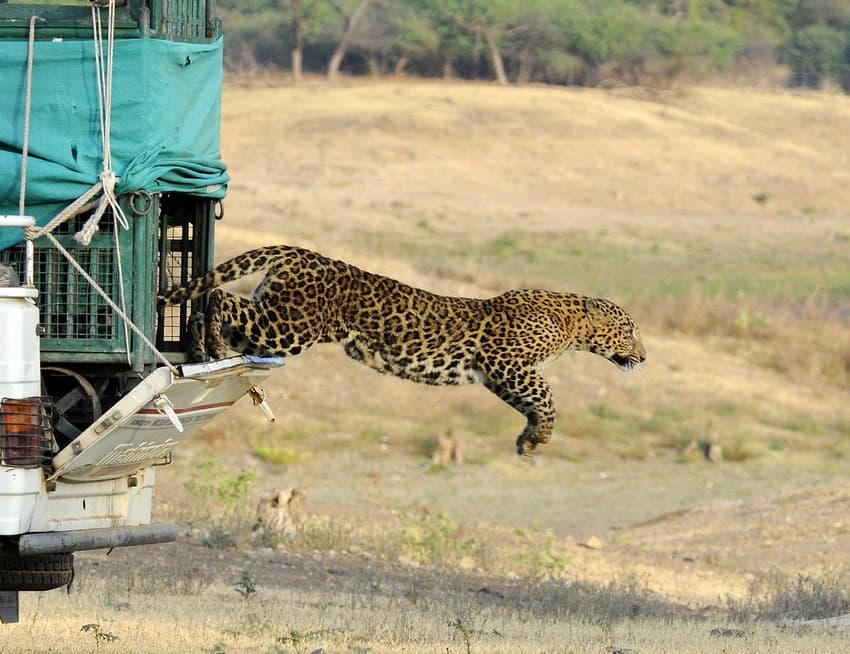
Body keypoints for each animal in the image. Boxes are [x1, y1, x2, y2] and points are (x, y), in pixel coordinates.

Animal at [159, 246, 644, 456]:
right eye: (629, 330)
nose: (643, 357)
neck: (571, 322)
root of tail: (302, 253)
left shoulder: (497, 375)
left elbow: (531, 403)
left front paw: (528, 439)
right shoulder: (506, 361)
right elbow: (547, 397)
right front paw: (540, 435)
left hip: (275, 321)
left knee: (219, 309)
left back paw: (207, 345)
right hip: (290, 326)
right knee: (219, 299)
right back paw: (210, 343)